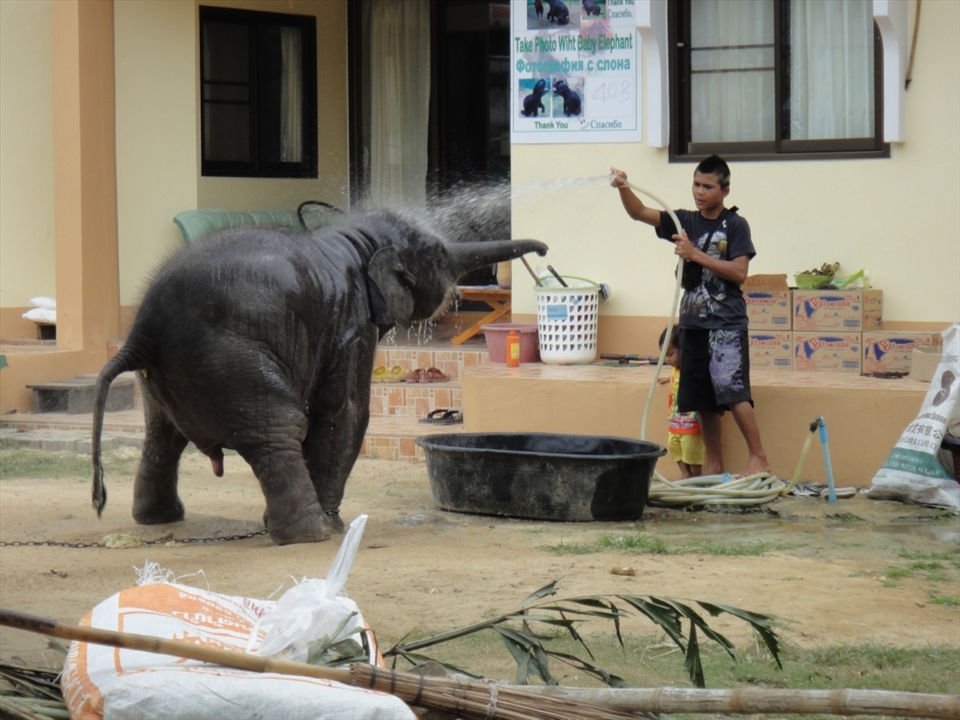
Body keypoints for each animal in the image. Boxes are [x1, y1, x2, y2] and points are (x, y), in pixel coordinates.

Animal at [91, 209, 548, 545]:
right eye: (437, 254)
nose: (543, 251)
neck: (354, 239)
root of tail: (144, 331)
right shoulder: (352, 327)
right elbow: (344, 413)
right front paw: (336, 525)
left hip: (169, 374)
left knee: (162, 436)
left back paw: (158, 519)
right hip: (230, 361)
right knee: (279, 427)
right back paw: (312, 533)